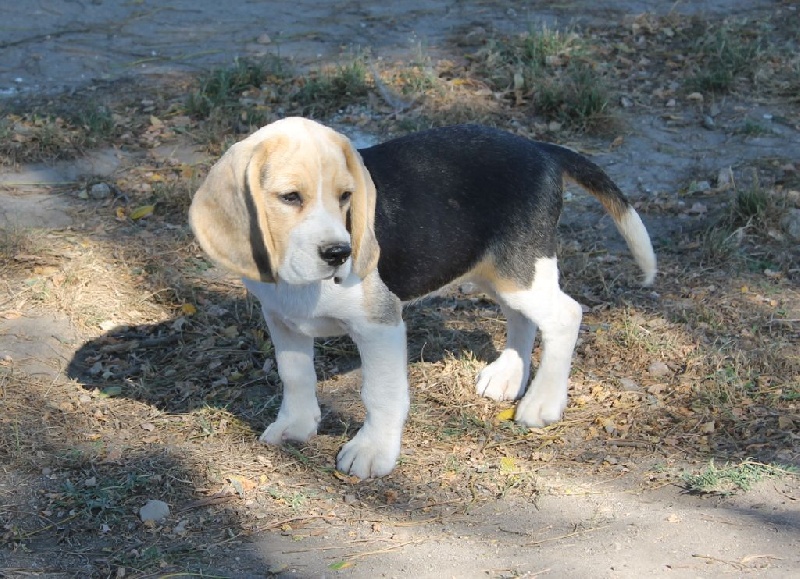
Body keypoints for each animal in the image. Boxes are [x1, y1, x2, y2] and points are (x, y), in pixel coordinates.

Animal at [189, 118, 656, 480]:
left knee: (565, 314)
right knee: (522, 318)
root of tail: (539, 149)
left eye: (346, 197)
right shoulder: (281, 318)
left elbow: (380, 393)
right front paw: (295, 426)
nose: (340, 253)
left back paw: (543, 401)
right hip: (493, 270)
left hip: (518, 271)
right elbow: (295, 375)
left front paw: (372, 451)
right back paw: (508, 376)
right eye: (290, 198)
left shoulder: (379, 326)